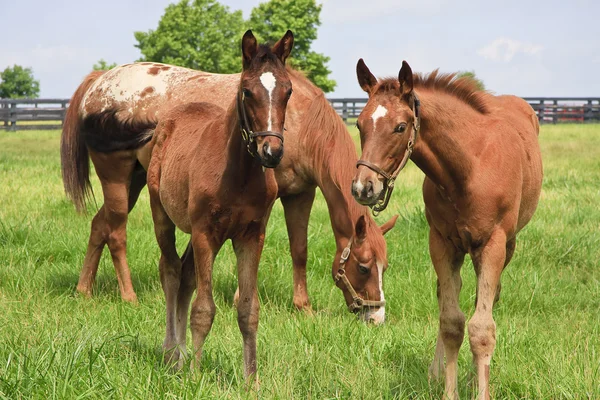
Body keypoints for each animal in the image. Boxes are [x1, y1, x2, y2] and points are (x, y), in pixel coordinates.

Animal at [63, 50, 396, 324]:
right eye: (364, 267)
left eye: (385, 268)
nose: (376, 317)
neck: (301, 122)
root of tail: (97, 82)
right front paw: (240, 298)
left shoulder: (301, 194)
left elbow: (299, 249)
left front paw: (303, 307)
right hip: (117, 178)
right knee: (116, 233)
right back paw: (129, 296)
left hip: (136, 179)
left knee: (99, 225)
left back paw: (83, 289)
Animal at [148, 29, 292, 380]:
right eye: (247, 91)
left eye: (288, 90)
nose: (272, 152)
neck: (239, 174)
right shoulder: (205, 233)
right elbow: (203, 308)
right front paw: (196, 376)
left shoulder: (252, 236)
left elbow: (248, 308)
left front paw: (251, 380)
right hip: (162, 215)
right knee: (171, 271)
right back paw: (173, 353)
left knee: (185, 274)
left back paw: (182, 353)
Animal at [352, 57, 544, 398]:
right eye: (360, 124)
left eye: (400, 127)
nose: (363, 187)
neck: (468, 169)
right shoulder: (441, 242)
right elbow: (451, 321)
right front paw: (447, 387)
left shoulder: (492, 244)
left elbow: (482, 327)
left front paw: (479, 387)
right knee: (448, 296)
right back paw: (437, 371)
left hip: (507, 246)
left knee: (488, 301)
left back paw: (474, 376)